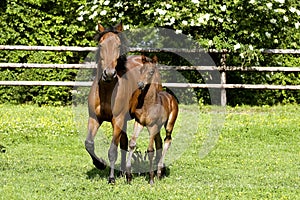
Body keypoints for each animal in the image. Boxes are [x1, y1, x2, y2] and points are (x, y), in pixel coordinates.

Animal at [85, 22, 155, 184]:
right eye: (101, 44)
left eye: (118, 45)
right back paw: (123, 172)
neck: (106, 91)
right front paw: (99, 164)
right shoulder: (94, 118)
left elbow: (112, 150)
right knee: (124, 142)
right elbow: (89, 143)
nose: (109, 74)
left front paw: (111, 178)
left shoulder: (117, 120)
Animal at [126, 55, 178, 184]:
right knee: (159, 142)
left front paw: (151, 178)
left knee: (167, 140)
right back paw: (159, 171)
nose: (140, 84)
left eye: (151, 72)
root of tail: (171, 97)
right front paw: (129, 176)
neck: (148, 104)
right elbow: (132, 144)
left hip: (169, 124)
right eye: (140, 70)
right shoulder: (139, 123)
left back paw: (159, 171)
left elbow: (150, 150)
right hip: (158, 127)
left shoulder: (152, 126)